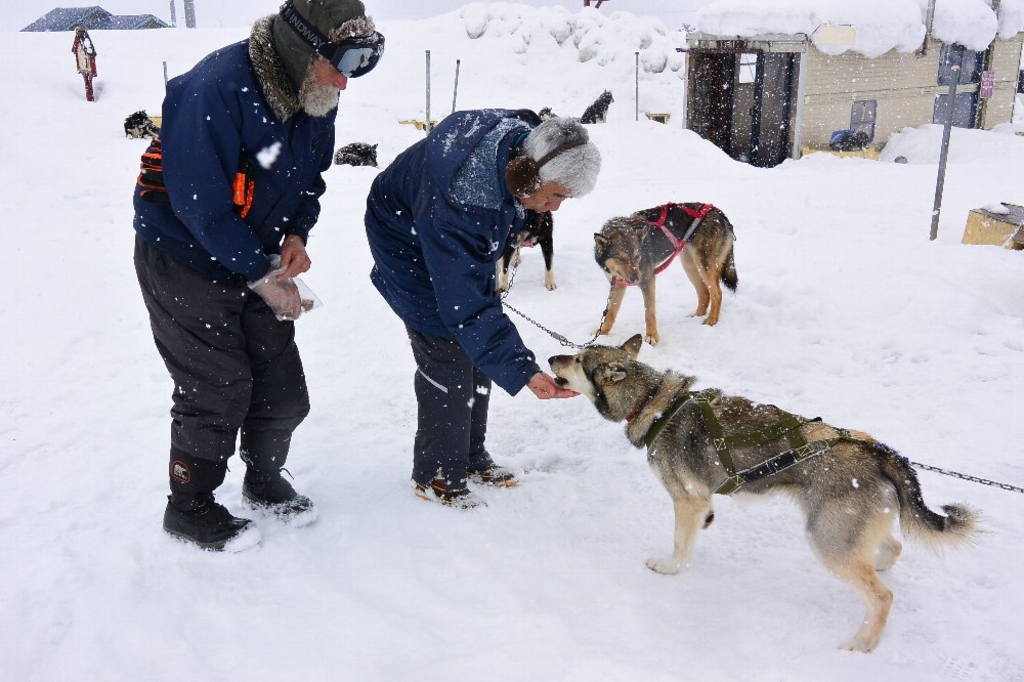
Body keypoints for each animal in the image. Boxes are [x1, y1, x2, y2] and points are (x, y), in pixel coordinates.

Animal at [552, 333, 974, 647]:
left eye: (578, 359)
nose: (553, 357)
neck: (652, 401)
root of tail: (880, 452)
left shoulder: (687, 500)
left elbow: (679, 544)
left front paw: (670, 568)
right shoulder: (702, 503)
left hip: (825, 539)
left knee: (882, 596)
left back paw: (862, 642)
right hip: (847, 532)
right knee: (892, 549)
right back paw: (878, 565)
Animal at [593, 199, 737, 342]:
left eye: (637, 256)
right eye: (621, 259)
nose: (636, 279)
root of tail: (720, 214)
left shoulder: (648, 280)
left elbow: (649, 312)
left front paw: (651, 336)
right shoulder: (618, 284)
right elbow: (611, 312)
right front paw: (602, 333)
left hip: (703, 265)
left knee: (717, 293)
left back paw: (711, 320)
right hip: (689, 265)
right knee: (704, 292)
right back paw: (696, 316)